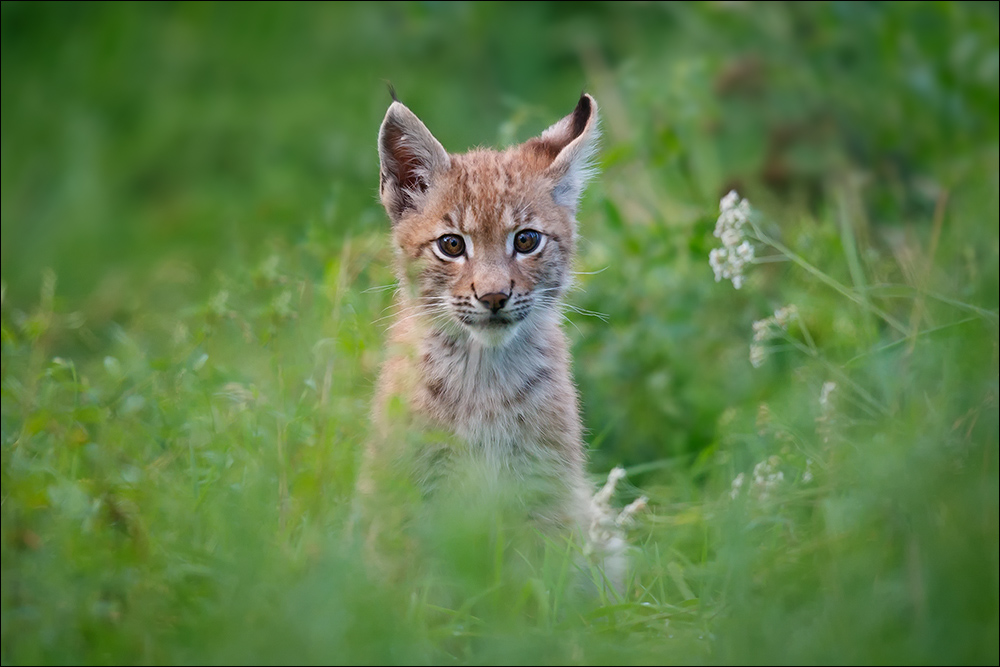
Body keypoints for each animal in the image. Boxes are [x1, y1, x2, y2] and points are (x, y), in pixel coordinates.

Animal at [362, 92, 632, 584]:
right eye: (451, 245)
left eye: (526, 241)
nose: (492, 296)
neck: (482, 366)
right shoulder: (413, 485)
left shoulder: (544, 484)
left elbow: (540, 578)